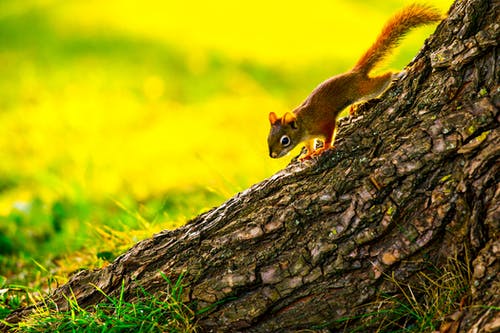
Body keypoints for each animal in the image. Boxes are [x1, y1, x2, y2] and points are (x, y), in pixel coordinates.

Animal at [270, 3, 442, 160]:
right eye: (268, 138)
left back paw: (400, 73)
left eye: (284, 140)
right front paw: (308, 154)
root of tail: (355, 72)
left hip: (365, 89)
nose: (272, 155)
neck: (303, 123)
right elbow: (310, 145)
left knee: (384, 80)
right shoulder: (309, 138)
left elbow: (329, 134)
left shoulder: (323, 122)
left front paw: (324, 148)